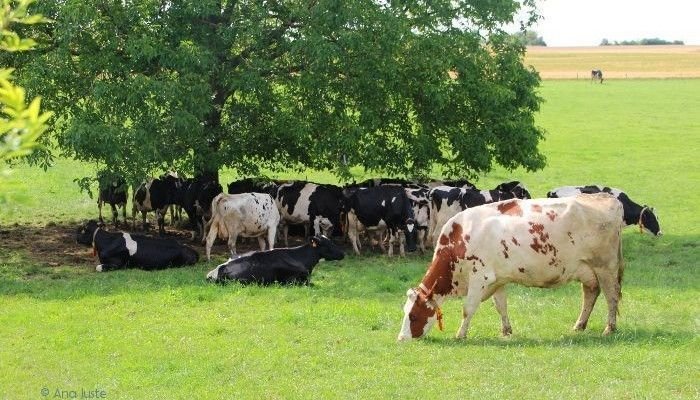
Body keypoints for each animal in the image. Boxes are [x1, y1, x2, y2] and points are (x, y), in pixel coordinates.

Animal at [397, 194, 625, 341]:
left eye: (413, 316)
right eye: (405, 312)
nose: (401, 338)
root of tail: (605, 197)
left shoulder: (480, 278)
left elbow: (467, 309)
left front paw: (460, 335)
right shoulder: (497, 280)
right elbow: (501, 306)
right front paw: (506, 331)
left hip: (605, 267)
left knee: (611, 296)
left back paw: (609, 328)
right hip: (586, 269)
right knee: (591, 293)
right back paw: (579, 325)